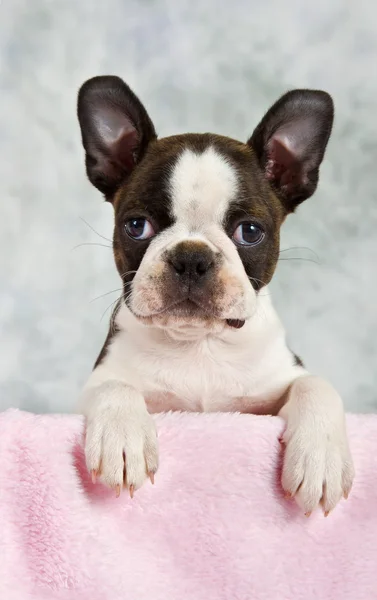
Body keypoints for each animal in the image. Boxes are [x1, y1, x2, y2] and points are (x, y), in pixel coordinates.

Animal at [76, 75, 352, 516]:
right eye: (136, 226)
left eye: (250, 232)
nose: (192, 257)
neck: (199, 343)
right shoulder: (98, 381)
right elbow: (114, 386)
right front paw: (123, 439)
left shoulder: (278, 381)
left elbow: (316, 385)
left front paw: (320, 458)